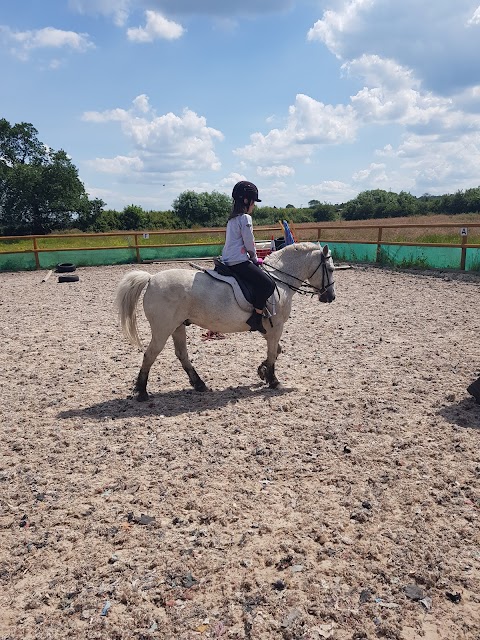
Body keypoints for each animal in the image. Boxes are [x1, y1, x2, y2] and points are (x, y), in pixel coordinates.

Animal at [114, 242, 336, 398]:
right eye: (331, 269)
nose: (331, 297)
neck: (280, 280)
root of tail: (151, 279)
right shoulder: (276, 327)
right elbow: (273, 353)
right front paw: (273, 381)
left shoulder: (269, 329)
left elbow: (276, 350)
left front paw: (262, 371)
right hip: (163, 329)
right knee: (150, 355)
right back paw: (142, 392)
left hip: (177, 327)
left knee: (181, 355)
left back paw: (200, 385)